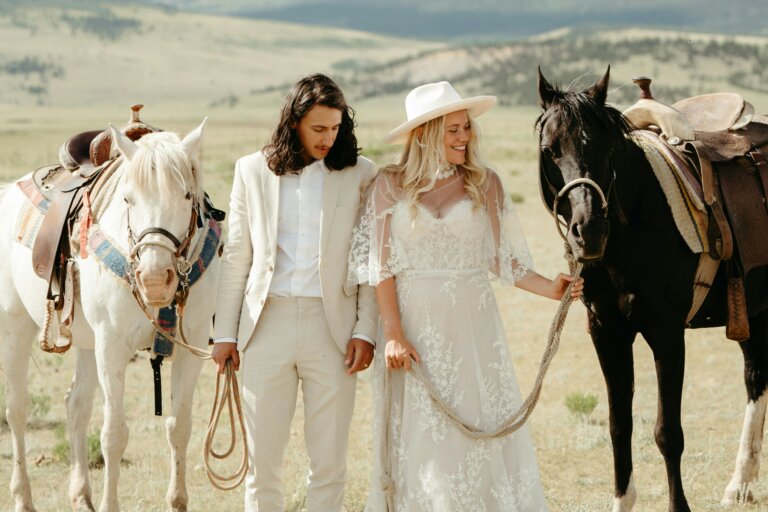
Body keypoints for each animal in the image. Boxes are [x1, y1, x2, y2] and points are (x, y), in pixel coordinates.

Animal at [0, 121, 219, 512]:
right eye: (128, 199)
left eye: (185, 196)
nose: (153, 278)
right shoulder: (113, 346)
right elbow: (114, 434)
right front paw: (109, 504)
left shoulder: (191, 346)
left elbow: (179, 427)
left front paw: (177, 501)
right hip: (16, 326)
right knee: (17, 410)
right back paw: (23, 497)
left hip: (88, 344)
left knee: (76, 405)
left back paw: (81, 496)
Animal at [536, 66, 768, 510]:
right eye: (550, 150)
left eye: (607, 148)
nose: (589, 231)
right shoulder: (606, 333)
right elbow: (618, 426)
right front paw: (621, 500)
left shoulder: (666, 333)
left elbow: (668, 433)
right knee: (755, 377)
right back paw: (740, 484)